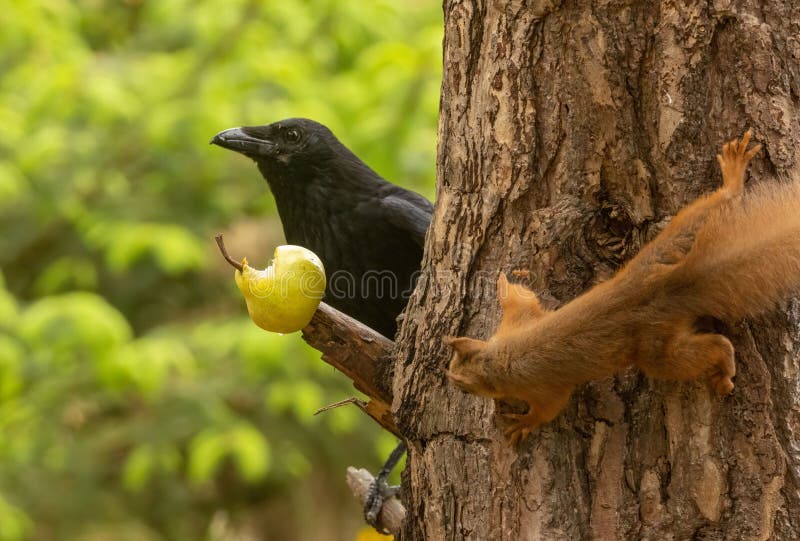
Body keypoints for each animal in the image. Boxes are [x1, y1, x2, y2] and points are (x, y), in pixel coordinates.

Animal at [446, 130, 800, 444]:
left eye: (464, 387)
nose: (451, 384)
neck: (499, 356)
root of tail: (663, 288)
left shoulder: (543, 387)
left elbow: (549, 408)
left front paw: (523, 423)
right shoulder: (518, 323)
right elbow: (525, 301)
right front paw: (503, 284)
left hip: (658, 353)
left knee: (708, 349)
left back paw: (724, 368)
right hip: (670, 244)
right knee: (714, 207)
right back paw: (732, 179)